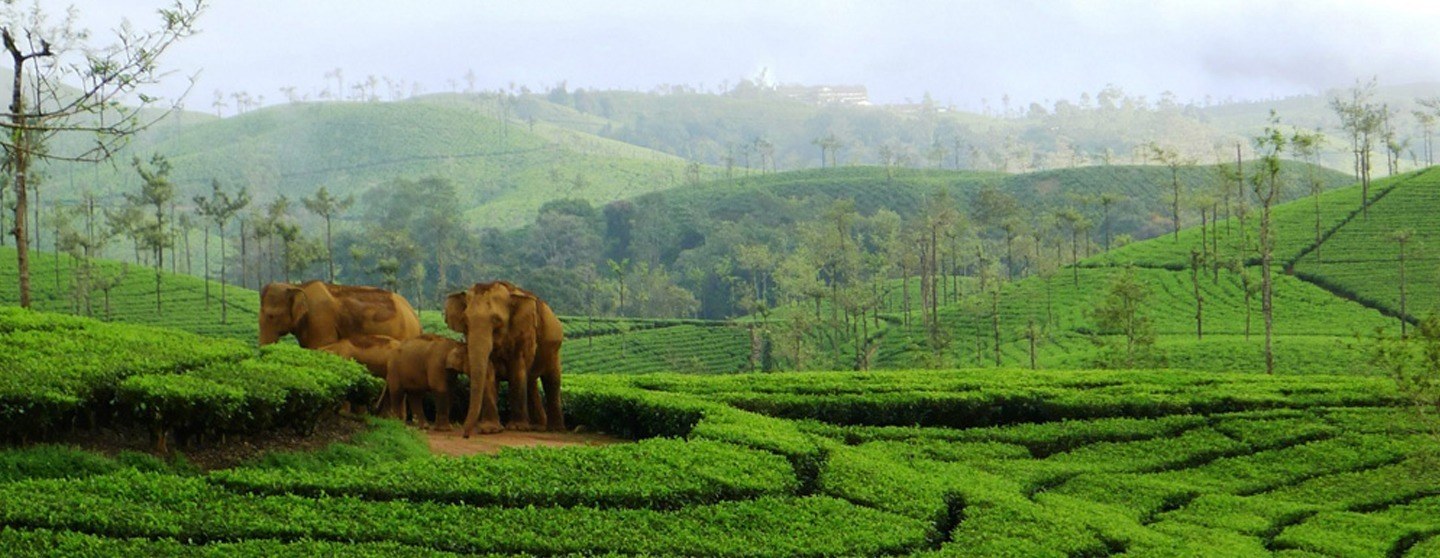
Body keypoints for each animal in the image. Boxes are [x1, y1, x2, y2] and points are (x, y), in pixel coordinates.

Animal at [443, 281, 561, 437]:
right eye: (465, 321)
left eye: (496, 320)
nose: (465, 435)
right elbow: (489, 371)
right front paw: (490, 429)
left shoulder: (522, 334)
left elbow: (517, 370)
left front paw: (517, 428)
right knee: (531, 382)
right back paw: (538, 426)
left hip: (553, 347)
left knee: (551, 381)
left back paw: (554, 428)